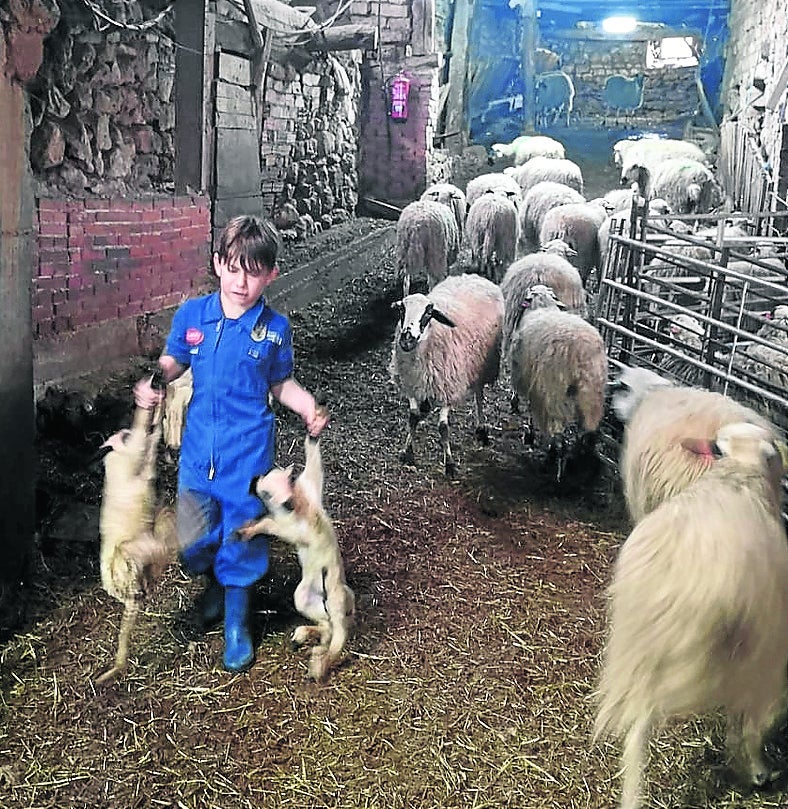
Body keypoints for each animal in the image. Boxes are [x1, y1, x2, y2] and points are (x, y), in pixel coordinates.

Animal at [388, 274, 504, 474]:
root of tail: (474, 276)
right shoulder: (410, 384)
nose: (407, 339)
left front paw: (449, 463)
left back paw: (481, 428)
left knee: (478, 393)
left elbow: (443, 427)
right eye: (402, 310)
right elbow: (413, 417)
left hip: (481, 364)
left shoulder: (448, 386)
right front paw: (407, 453)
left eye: (428, 314)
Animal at [508, 284, 608, 480]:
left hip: (554, 391)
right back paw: (582, 465)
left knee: (557, 433)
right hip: (592, 394)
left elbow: (530, 409)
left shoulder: (532, 381)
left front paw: (529, 434)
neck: (543, 305)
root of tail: (581, 354)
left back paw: (553, 462)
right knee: (587, 432)